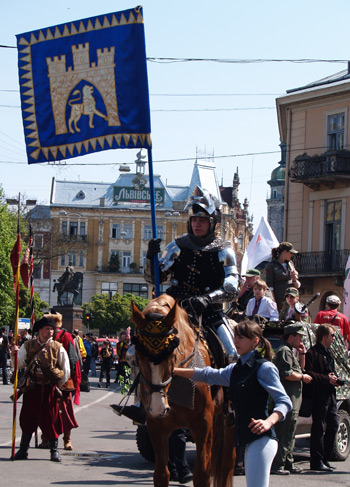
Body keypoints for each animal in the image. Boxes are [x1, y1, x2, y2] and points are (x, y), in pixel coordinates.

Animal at [131, 294, 235, 487]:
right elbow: (161, 474)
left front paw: (199, 301)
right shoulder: (156, 427)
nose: (158, 407)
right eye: (139, 354)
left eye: (171, 354)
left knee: (227, 464)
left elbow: (202, 475)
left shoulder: (203, 424)